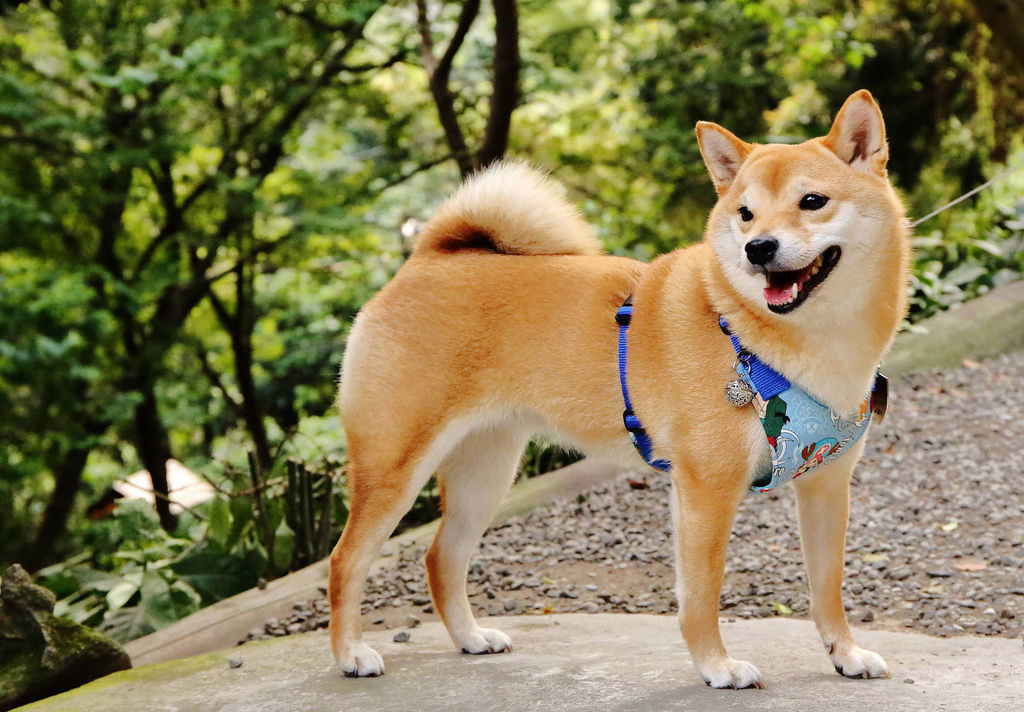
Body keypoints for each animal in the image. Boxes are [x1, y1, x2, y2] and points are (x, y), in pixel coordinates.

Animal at [329, 90, 913, 692]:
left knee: (441, 558)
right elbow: (701, 596)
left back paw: (470, 638)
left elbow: (828, 590)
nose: (758, 247)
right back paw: (352, 654)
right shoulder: (705, 490)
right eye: (745, 214)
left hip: (485, 474)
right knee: (346, 561)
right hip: (395, 468)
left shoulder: (826, 486)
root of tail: (425, 258)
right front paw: (717, 666)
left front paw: (846, 655)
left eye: (812, 201)